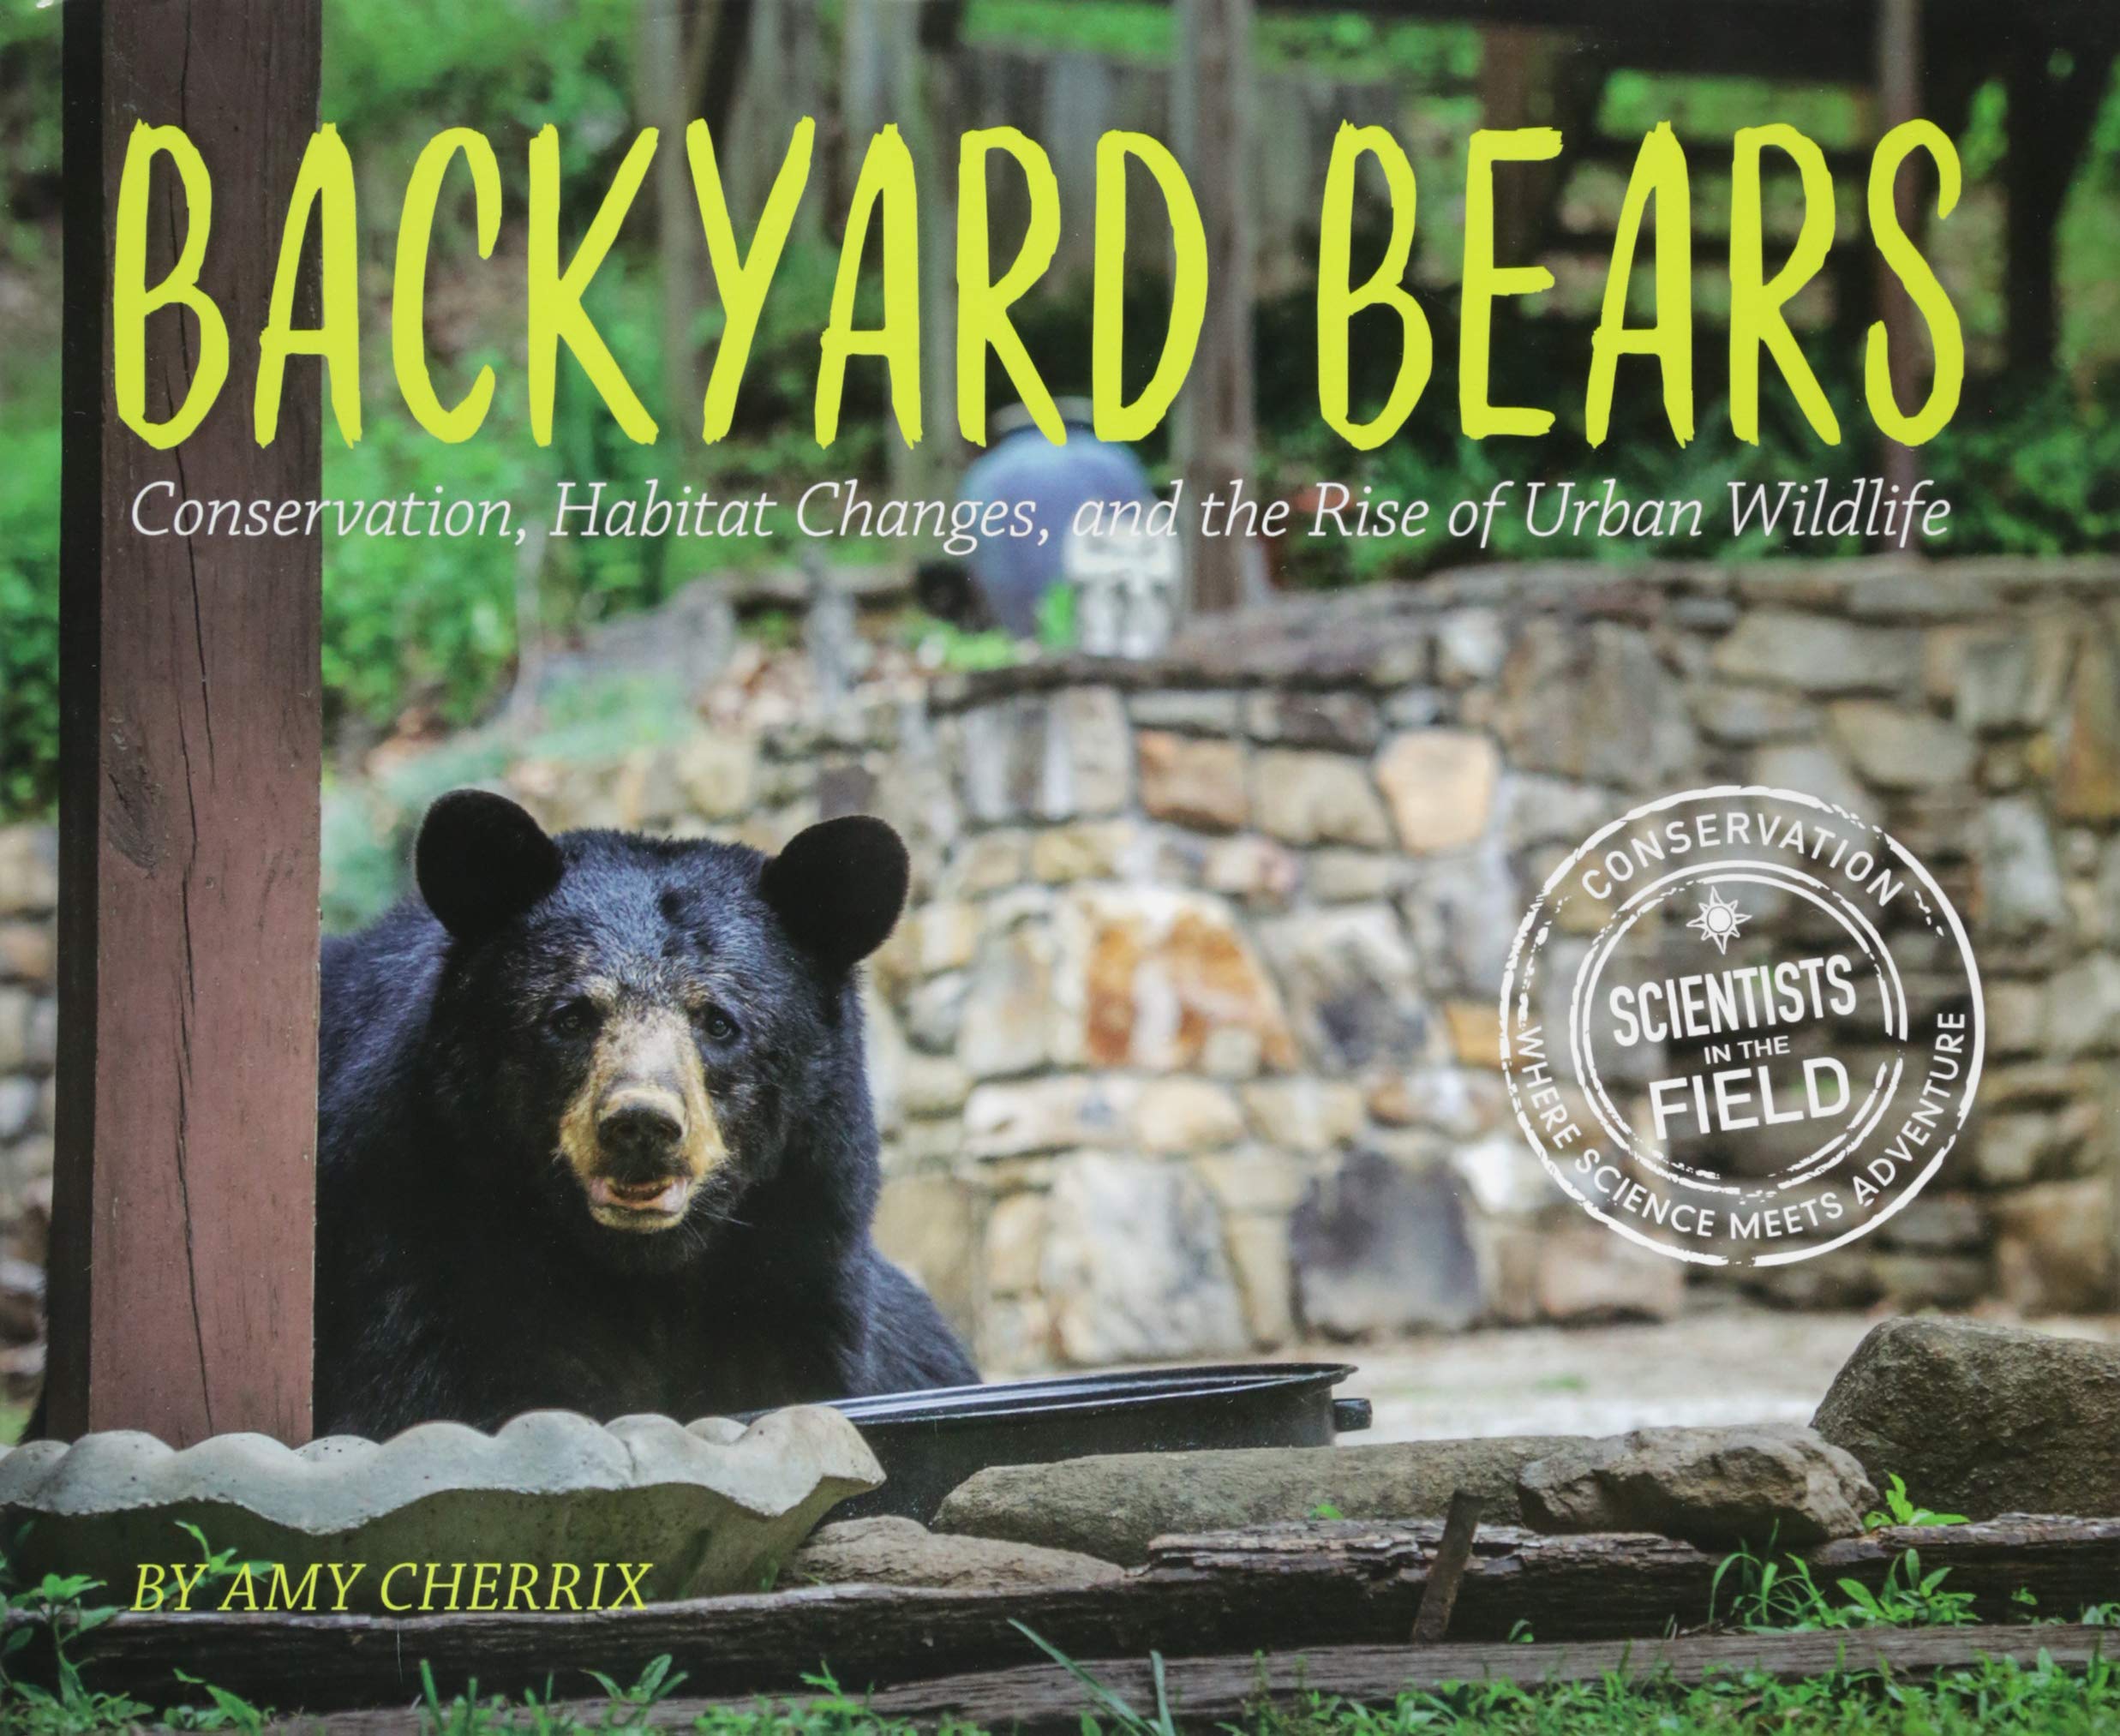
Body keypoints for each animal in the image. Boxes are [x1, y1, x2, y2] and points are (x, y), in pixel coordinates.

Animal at [310, 788, 977, 1439]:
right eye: (570, 1016)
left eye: (718, 1021)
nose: (641, 1124)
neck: (642, 1272)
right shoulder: (421, 1247)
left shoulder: (799, 1268)